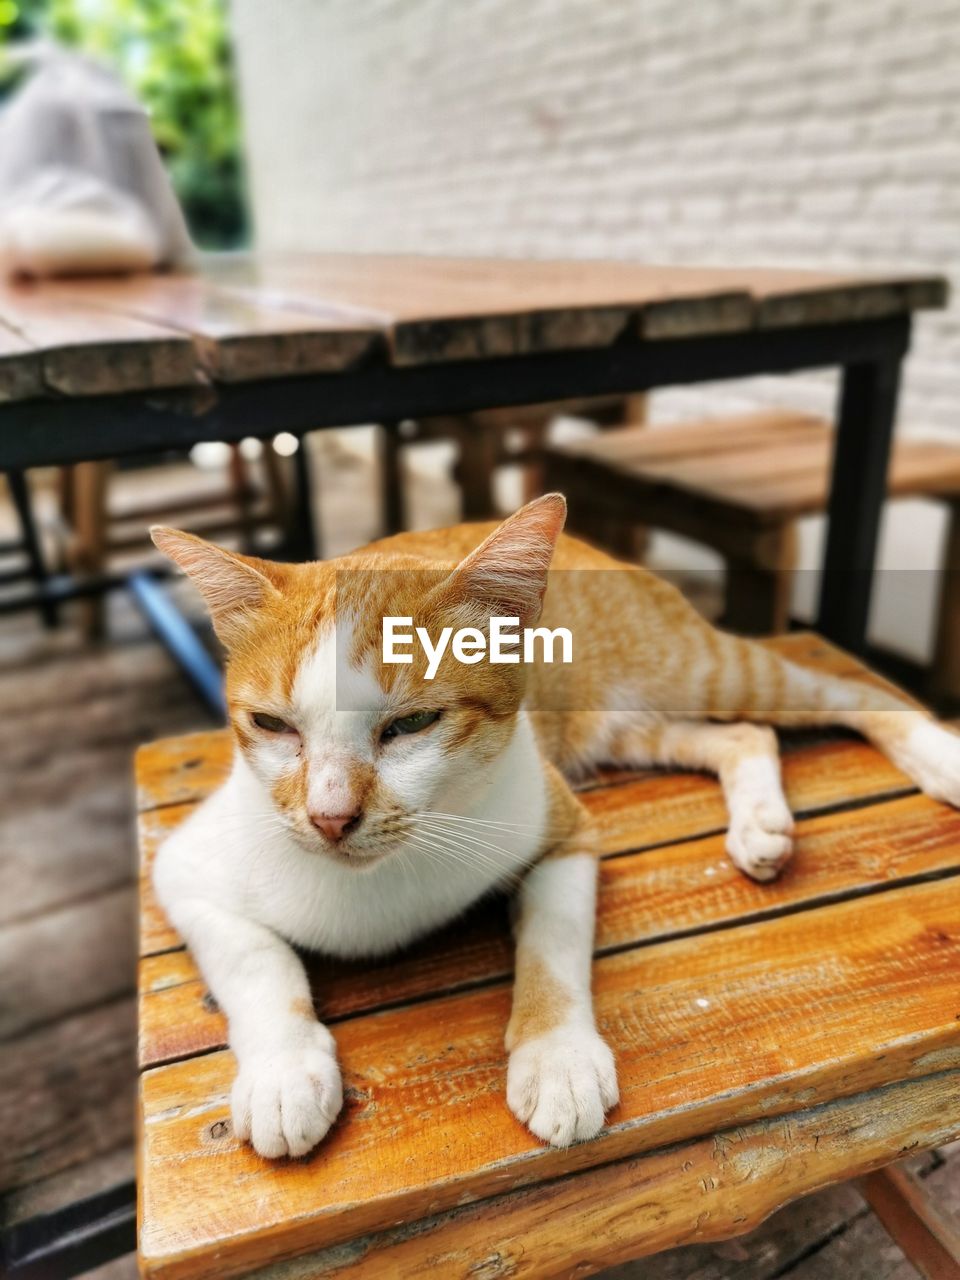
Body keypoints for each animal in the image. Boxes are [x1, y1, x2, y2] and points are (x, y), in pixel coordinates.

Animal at [148, 496, 960, 1162]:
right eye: (271, 726)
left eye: (412, 723)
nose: (329, 817)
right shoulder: (184, 871)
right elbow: (257, 960)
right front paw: (284, 1071)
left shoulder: (565, 831)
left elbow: (553, 944)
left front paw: (558, 1055)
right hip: (622, 724)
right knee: (745, 734)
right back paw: (760, 820)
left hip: (697, 668)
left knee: (840, 689)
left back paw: (937, 757)